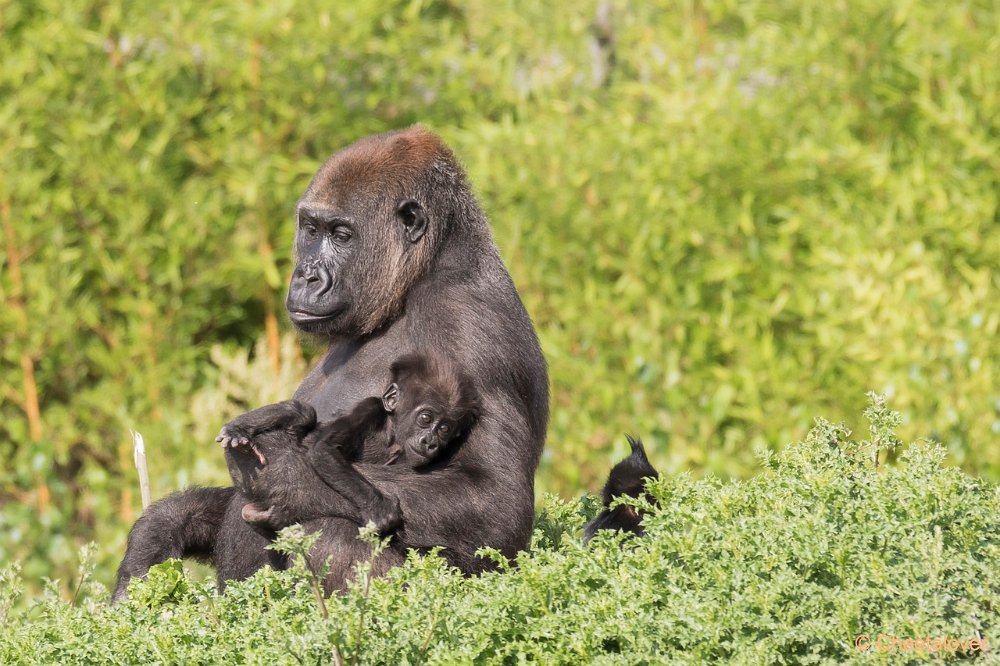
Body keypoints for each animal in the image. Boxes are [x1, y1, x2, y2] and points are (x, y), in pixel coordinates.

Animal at [218, 352, 480, 536]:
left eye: (445, 429)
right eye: (425, 418)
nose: (430, 442)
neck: (392, 432)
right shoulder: (369, 409)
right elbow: (323, 450)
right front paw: (379, 508)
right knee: (304, 413)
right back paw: (238, 429)